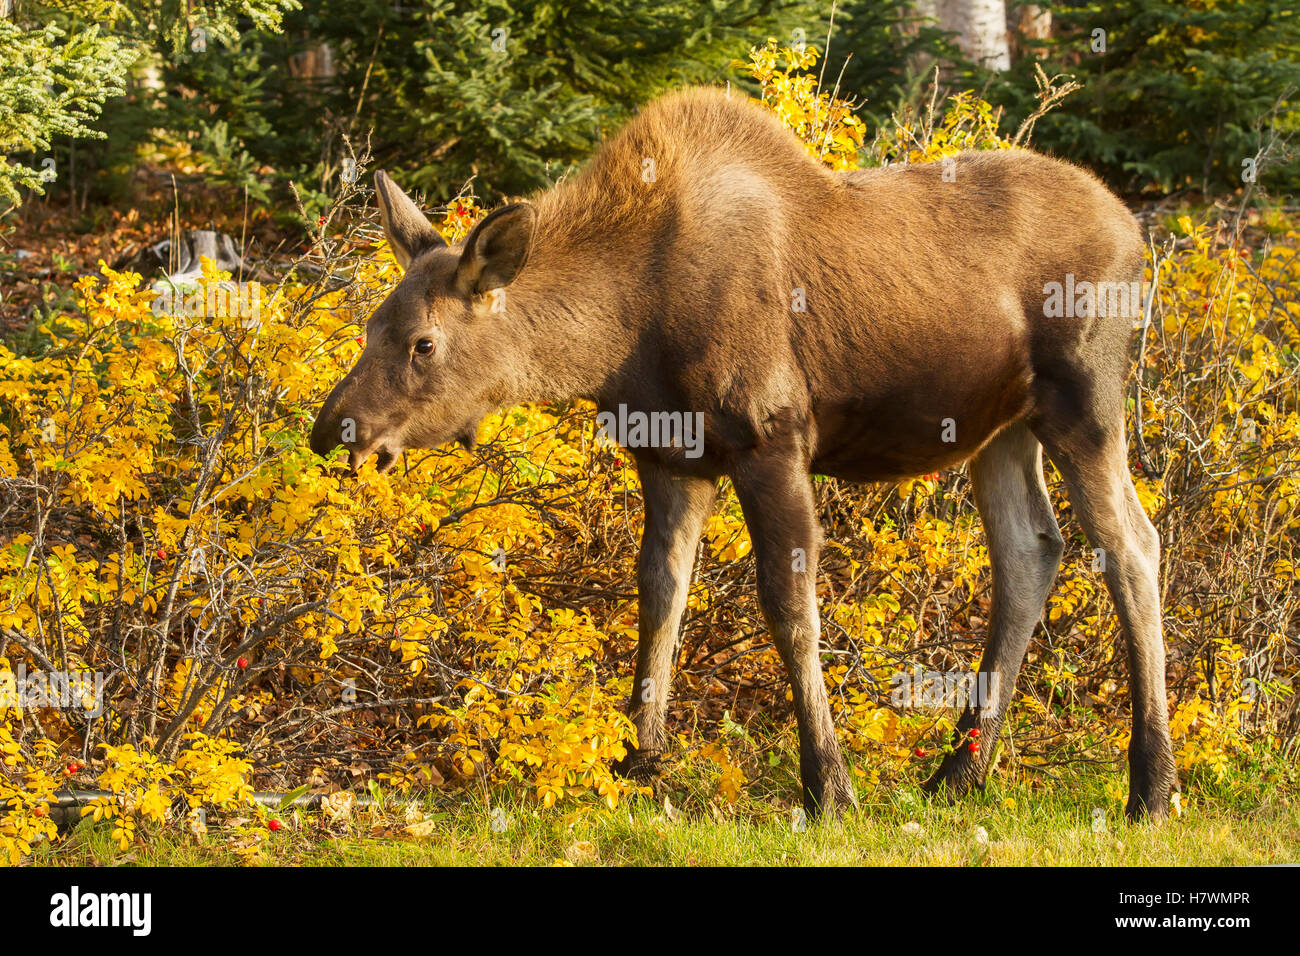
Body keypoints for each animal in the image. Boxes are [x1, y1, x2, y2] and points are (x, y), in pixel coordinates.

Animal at [312, 85, 1180, 822]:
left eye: (424, 343)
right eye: (371, 327)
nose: (332, 431)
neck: (619, 335)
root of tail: (1137, 237)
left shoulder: (773, 442)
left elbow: (789, 610)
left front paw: (828, 785)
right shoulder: (671, 458)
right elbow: (661, 593)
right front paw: (638, 758)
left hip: (1085, 403)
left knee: (1133, 545)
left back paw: (1151, 785)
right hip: (999, 429)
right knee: (1030, 552)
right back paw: (960, 771)